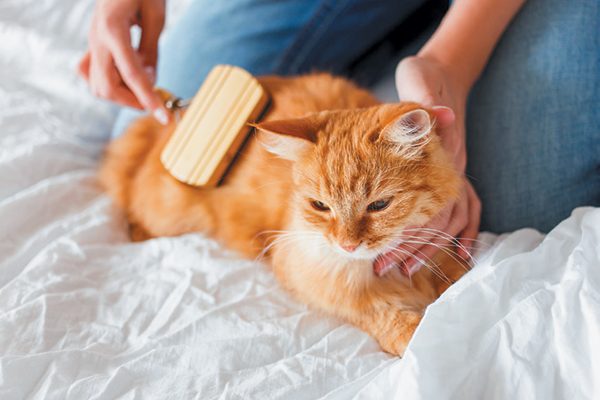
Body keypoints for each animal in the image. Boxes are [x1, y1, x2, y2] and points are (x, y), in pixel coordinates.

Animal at [101, 73, 468, 354]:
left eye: (379, 205)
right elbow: (384, 315)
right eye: (320, 206)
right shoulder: (316, 281)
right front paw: (420, 337)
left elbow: (455, 273)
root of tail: (169, 122)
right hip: (169, 212)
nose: (347, 245)